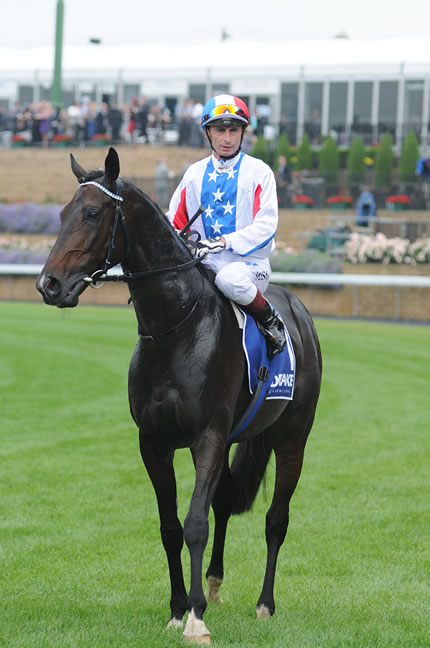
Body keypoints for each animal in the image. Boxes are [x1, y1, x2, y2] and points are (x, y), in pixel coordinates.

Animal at [36, 147, 322, 644]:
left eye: (92, 213)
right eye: (61, 213)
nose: (49, 285)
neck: (176, 328)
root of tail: (298, 311)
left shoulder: (205, 436)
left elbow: (195, 524)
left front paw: (196, 618)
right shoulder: (154, 442)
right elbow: (171, 525)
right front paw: (177, 608)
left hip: (292, 439)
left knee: (275, 519)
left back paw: (264, 604)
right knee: (224, 503)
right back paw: (215, 584)